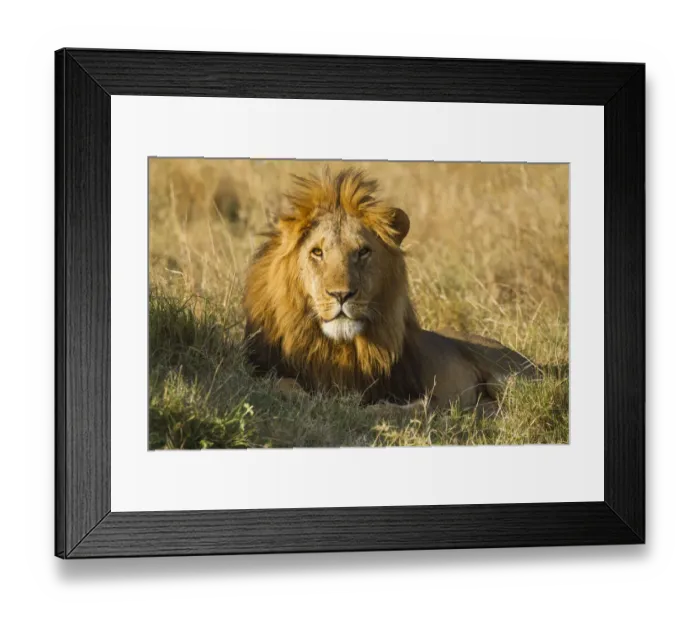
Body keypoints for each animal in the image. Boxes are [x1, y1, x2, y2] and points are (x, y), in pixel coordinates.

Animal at [243, 167, 539, 413]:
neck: (337, 346)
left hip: (507, 376)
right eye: (317, 252)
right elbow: (282, 384)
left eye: (363, 252)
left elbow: (399, 407)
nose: (341, 295)